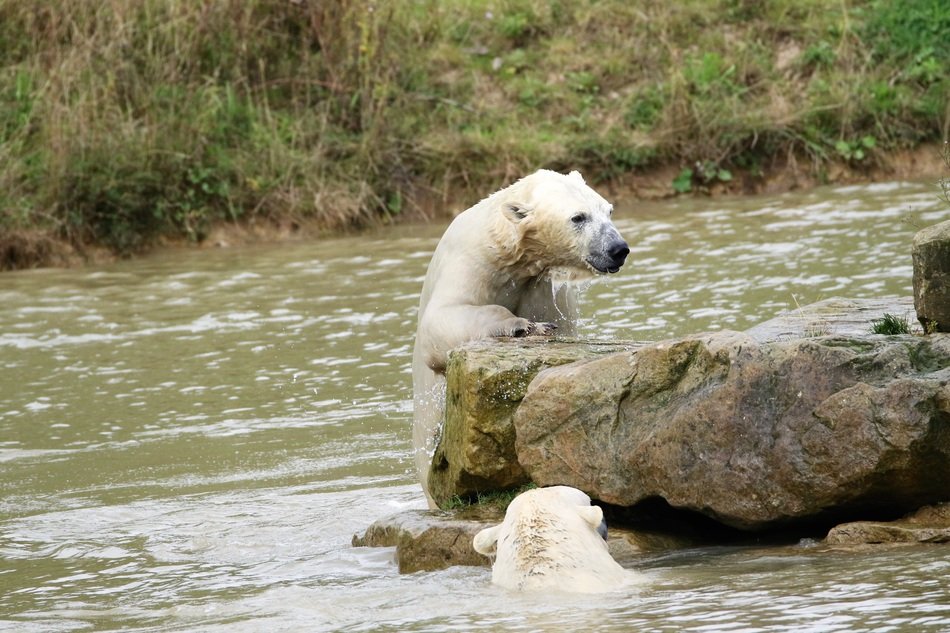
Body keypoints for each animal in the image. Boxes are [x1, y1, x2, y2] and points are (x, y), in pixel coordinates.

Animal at [410, 168, 628, 504]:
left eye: (609, 210)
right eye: (578, 217)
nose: (618, 249)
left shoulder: (541, 287)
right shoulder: (470, 262)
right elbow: (441, 319)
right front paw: (523, 326)